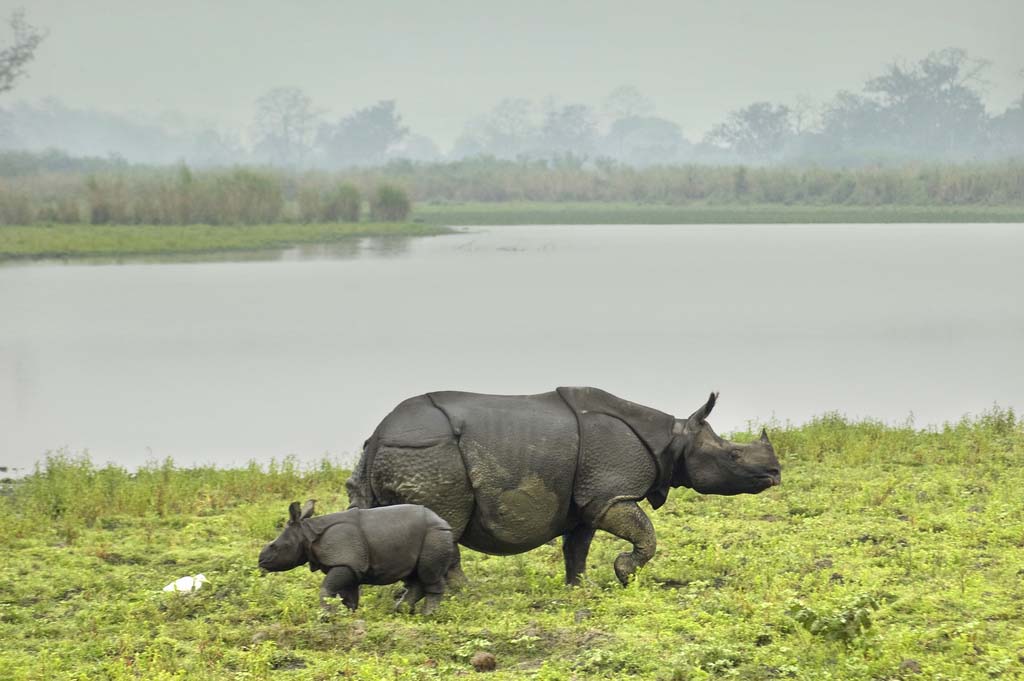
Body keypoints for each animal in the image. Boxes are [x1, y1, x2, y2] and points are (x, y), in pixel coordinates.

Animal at [258, 497, 454, 614]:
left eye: (274, 546)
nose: (260, 561)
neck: (307, 534)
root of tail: (444, 522)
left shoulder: (345, 562)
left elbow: (326, 589)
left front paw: (326, 615)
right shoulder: (350, 565)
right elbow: (348, 595)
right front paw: (348, 614)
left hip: (435, 534)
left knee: (428, 574)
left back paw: (427, 615)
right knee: (413, 576)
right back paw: (400, 610)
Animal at [348, 387, 778, 585]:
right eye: (734, 456)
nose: (775, 473)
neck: (673, 439)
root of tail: (379, 435)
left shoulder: (586, 501)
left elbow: (577, 547)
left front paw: (580, 588)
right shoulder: (610, 494)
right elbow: (646, 534)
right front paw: (625, 574)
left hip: (397, 455)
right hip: (430, 454)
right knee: (444, 527)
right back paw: (461, 594)